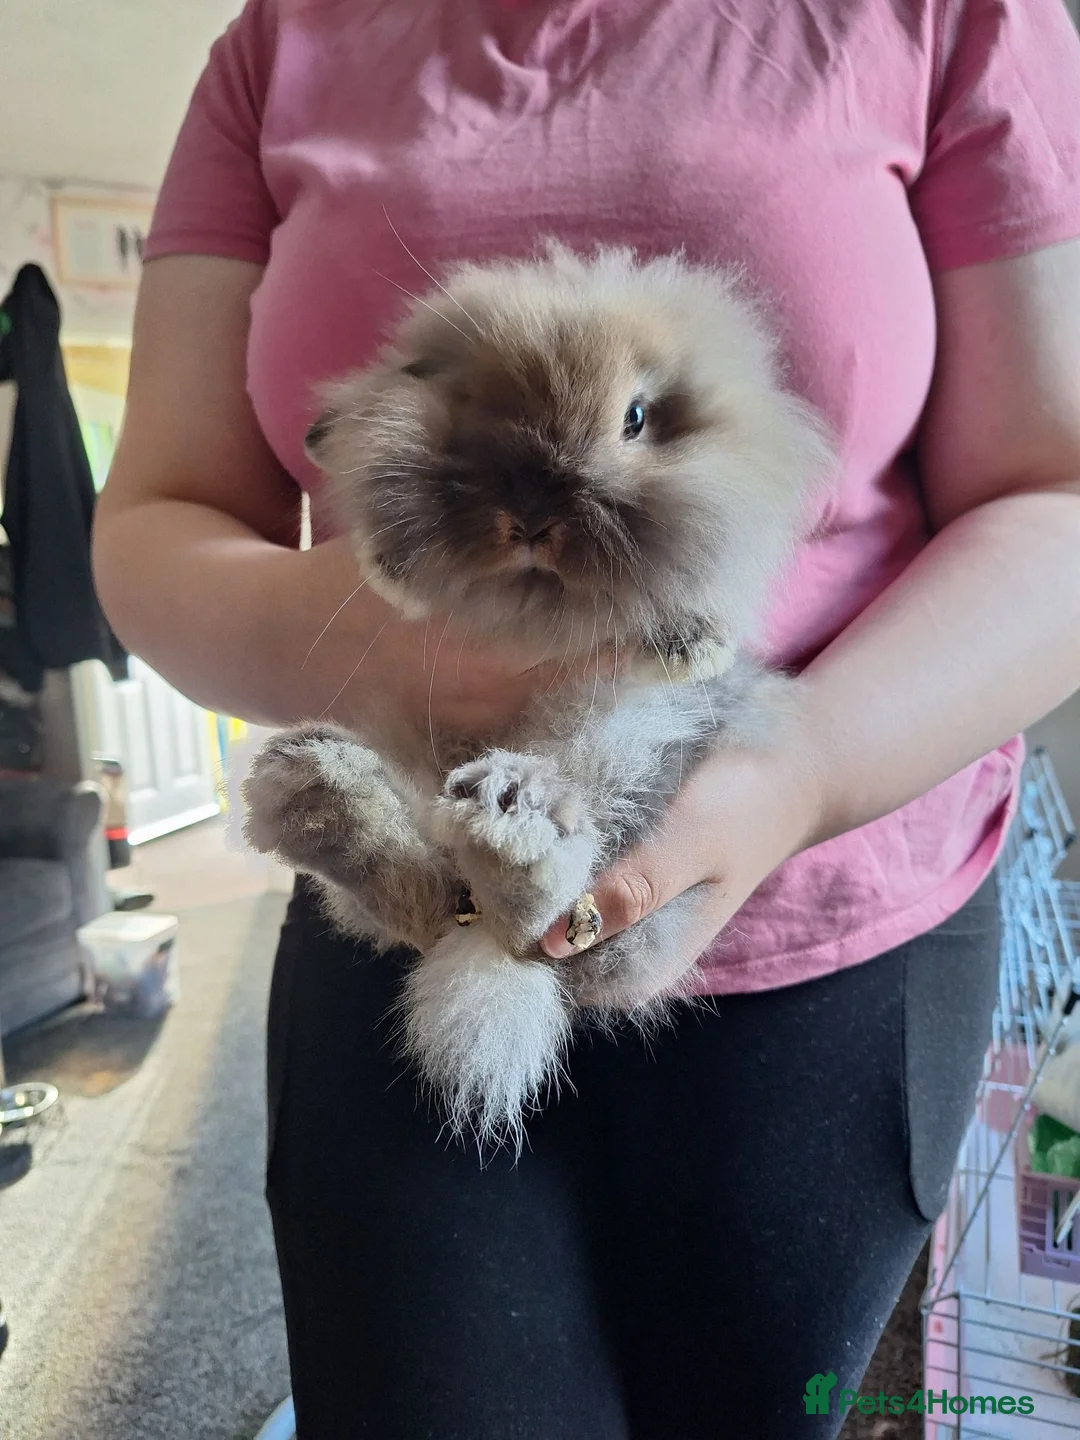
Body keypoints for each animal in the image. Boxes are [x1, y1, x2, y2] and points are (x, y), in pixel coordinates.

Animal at [242, 242, 833, 1150]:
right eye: (468, 406)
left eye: (635, 419)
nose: (529, 517)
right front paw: (393, 580)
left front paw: (692, 644)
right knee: (419, 890)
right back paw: (321, 793)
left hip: (634, 741)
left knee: (556, 902)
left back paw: (507, 821)